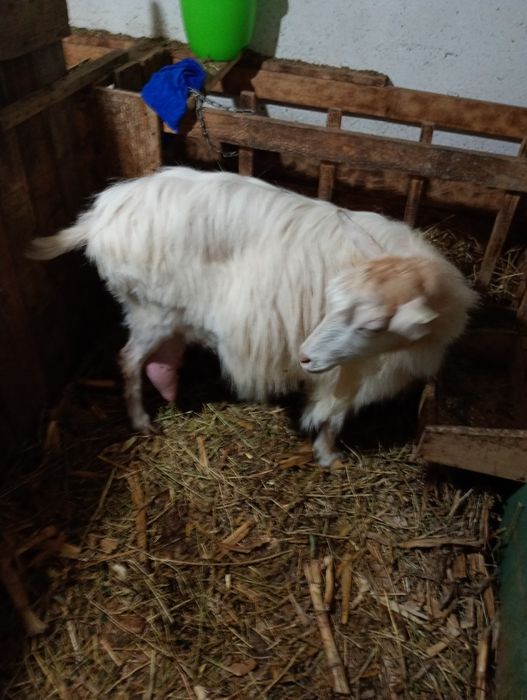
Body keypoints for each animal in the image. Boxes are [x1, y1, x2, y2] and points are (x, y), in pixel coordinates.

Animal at [27, 167, 477, 465]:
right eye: (332, 300)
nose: (304, 356)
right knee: (128, 359)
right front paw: (328, 456)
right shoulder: (349, 370)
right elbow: (332, 414)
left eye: (370, 325)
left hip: (160, 311)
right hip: (151, 308)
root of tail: (100, 216)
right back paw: (141, 421)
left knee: (158, 358)